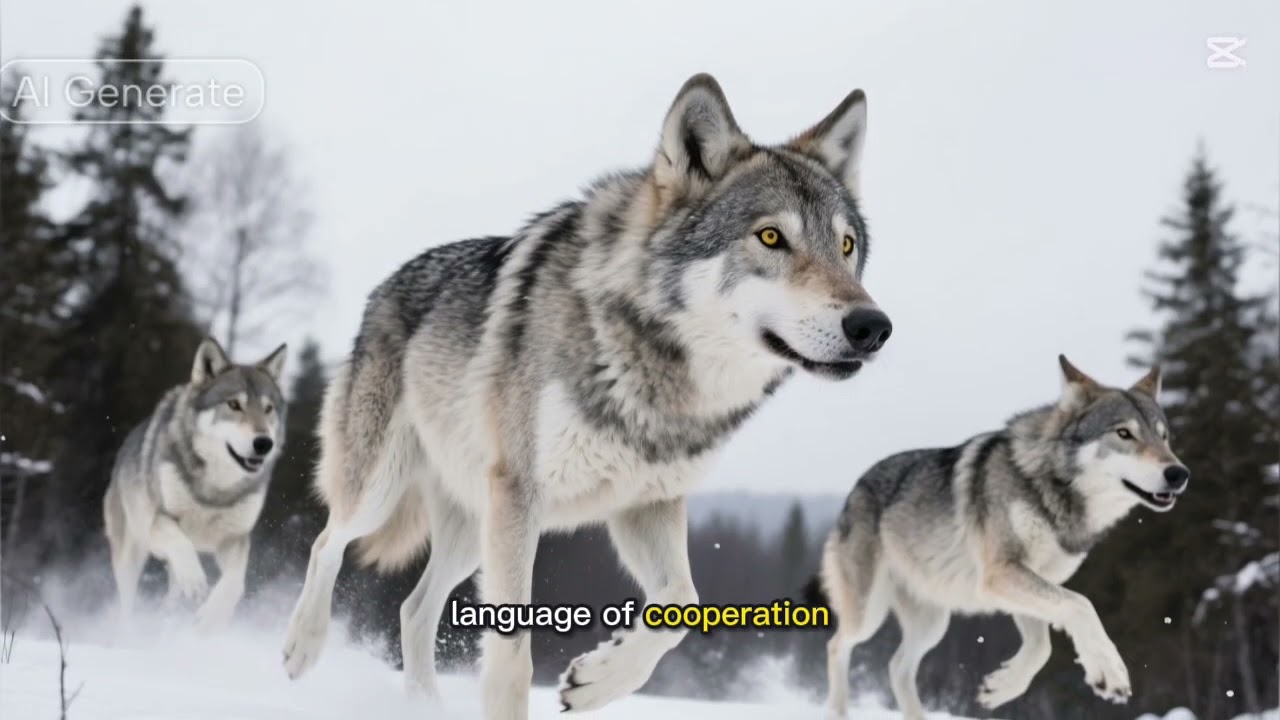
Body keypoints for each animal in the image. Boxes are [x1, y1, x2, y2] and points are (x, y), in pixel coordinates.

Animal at [103, 337, 287, 628]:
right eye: (234, 405)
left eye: (268, 409)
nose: (264, 443)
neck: (215, 490)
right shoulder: (158, 523)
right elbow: (182, 543)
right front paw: (195, 581)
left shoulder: (235, 539)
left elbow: (236, 581)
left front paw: (213, 615)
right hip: (130, 555)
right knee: (127, 602)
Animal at [280, 73, 893, 719]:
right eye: (771, 237)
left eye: (845, 245)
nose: (873, 326)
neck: (653, 373)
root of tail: (384, 286)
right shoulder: (521, 499)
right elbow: (511, 660)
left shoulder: (645, 503)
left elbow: (684, 603)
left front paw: (599, 679)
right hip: (386, 489)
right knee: (327, 542)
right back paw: (302, 646)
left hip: (474, 530)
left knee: (412, 608)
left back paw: (425, 704)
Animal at [813, 355, 1190, 720]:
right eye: (1124, 433)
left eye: (1164, 436)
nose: (1179, 473)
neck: (1050, 490)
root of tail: (855, 487)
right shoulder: (1002, 572)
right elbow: (1081, 605)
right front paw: (1110, 673)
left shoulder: (1031, 581)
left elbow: (1041, 647)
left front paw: (1000, 688)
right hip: (869, 614)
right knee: (837, 646)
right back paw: (837, 712)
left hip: (932, 624)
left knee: (897, 667)